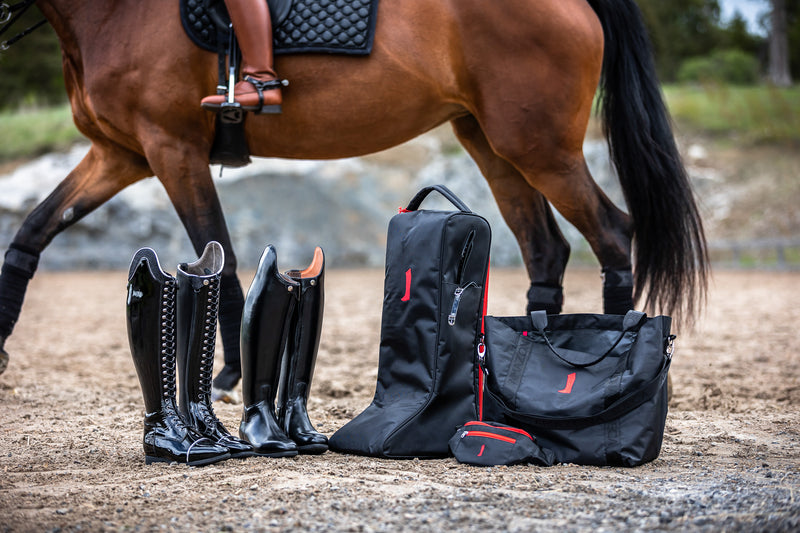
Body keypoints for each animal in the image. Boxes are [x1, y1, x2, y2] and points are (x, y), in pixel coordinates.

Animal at [0, 0, 708, 392]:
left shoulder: (170, 148)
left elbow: (219, 254)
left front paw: (227, 374)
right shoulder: (119, 154)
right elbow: (30, 234)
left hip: (542, 150)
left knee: (612, 233)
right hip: (494, 146)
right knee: (547, 251)